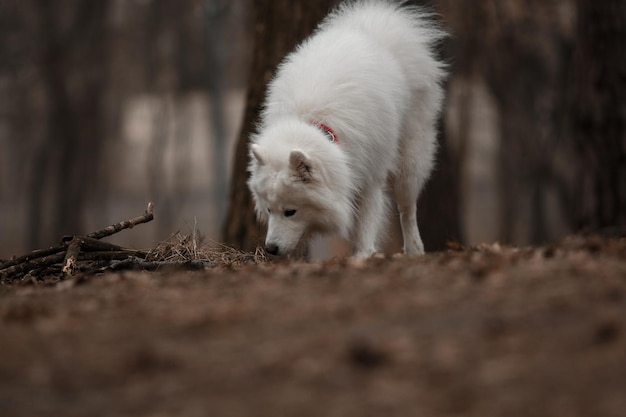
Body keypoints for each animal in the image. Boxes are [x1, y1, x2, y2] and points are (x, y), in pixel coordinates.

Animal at [246, 0, 446, 256]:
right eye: (269, 209)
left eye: (290, 211)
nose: (270, 249)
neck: (317, 124)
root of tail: (372, 26)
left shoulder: (371, 173)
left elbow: (366, 222)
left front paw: (363, 254)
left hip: (410, 160)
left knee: (407, 208)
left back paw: (414, 249)